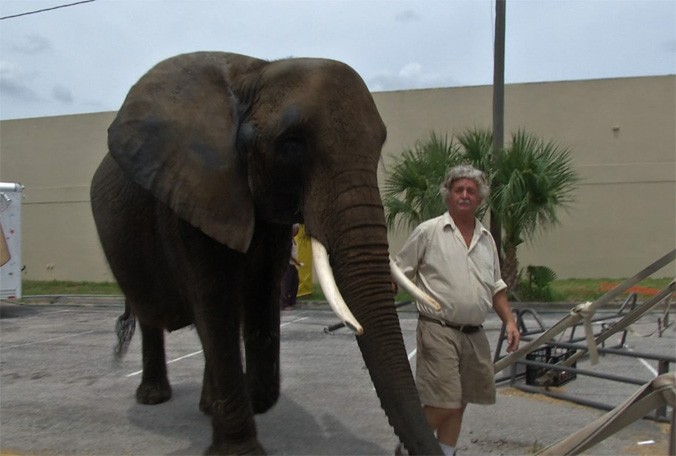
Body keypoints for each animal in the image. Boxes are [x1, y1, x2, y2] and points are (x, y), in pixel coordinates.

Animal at [92, 50, 440, 456]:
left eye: (379, 145)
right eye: (291, 143)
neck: (255, 71)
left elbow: (260, 288)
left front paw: (250, 400)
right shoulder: (189, 195)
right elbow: (215, 300)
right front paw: (239, 450)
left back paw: (206, 405)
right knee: (154, 315)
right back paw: (153, 397)